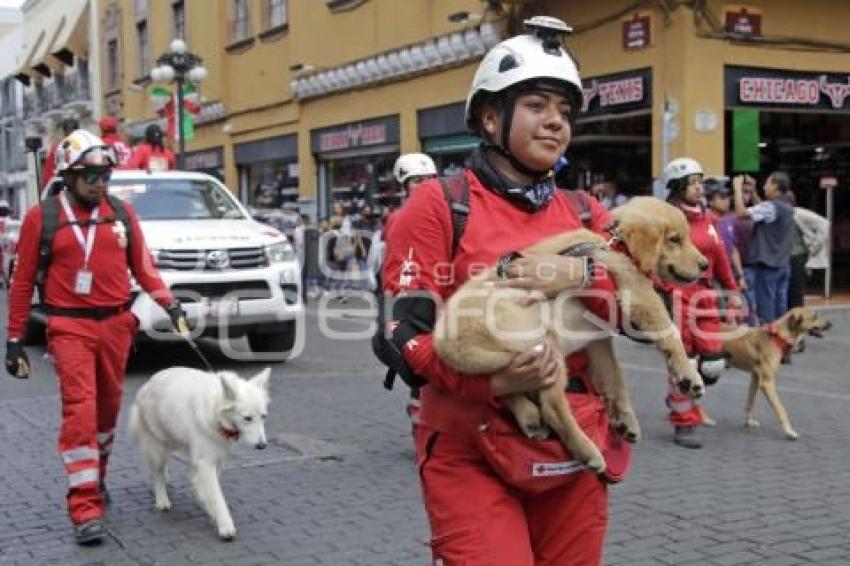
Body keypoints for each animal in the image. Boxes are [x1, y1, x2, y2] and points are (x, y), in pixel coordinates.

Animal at [128, 368, 272, 540]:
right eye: (247, 418)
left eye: (263, 417)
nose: (262, 446)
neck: (216, 413)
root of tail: (148, 383)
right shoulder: (205, 463)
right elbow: (217, 496)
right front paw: (225, 525)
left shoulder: (216, 460)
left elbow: (210, 491)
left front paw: (210, 509)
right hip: (157, 449)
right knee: (157, 475)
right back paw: (162, 500)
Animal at [434, 197, 704, 472]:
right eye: (674, 239)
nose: (705, 265)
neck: (615, 243)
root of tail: (448, 343)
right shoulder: (639, 296)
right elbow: (670, 332)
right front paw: (689, 376)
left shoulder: (598, 341)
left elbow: (615, 378)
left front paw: (626, 420)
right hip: (546, 347)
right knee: (551, 405)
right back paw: (588, 452)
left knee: (502, 386)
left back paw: (529, 418)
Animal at [720, 308, 832, 442]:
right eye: (815, 316)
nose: (831, 324)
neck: (777, 337)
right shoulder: (767, 383)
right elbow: (781, 409)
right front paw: (789, 431)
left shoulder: (755, 377)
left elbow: (750, 401)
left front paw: (749, 421)